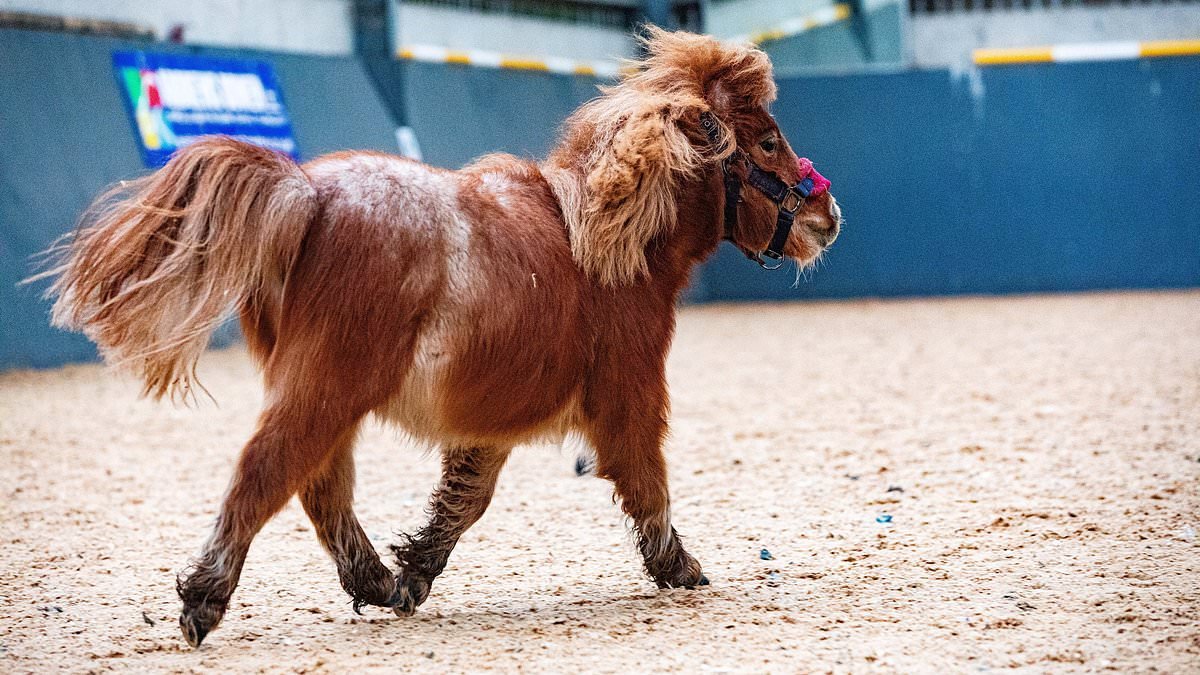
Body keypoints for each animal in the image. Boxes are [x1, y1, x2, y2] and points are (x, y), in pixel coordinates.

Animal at [43, 28, 841, 647]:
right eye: (768, 141)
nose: (827, 215)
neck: (606, 246)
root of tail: (307, 193)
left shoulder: (493, 422)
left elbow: (464, 499)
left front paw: (417, 568)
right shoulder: (628, 395)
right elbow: (648, 483)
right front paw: (681, 569)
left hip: (326, 395)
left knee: (320, 490)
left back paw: (376, 581)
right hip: (326, 388)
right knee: (268, 473)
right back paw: (205, 600)